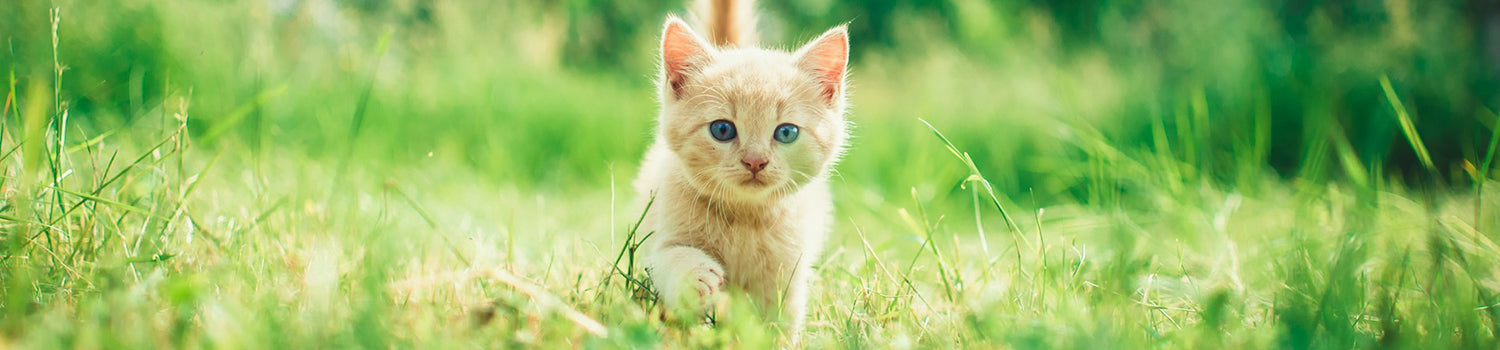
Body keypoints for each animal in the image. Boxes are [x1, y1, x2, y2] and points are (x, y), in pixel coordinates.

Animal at [627, 0, 852, 339]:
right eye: (722, 130)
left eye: (787, 132)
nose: (755, 161)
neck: (745, 219)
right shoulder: (660, 236)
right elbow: (669, 257)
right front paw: (695, 276)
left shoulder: (788, 272)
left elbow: (780, 319)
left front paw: (774, 340)